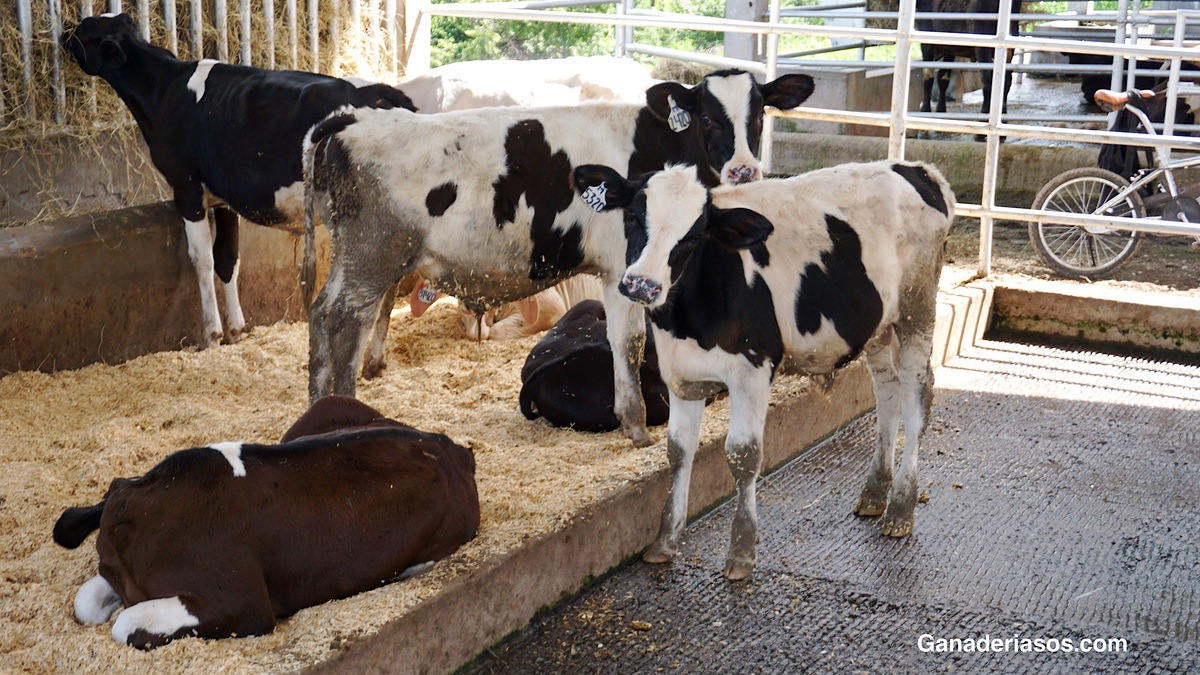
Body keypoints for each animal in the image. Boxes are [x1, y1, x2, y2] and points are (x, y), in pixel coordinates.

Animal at [62, 13, 417, 348]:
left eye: (85, 29)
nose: (64, 33)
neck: (165, 90)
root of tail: (375, 91)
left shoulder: (186, 188)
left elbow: (202, 259)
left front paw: (211, 333)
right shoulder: (223, 197)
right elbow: (227, 258)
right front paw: (235, 329)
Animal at [571, 158, 955, 578]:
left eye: (695, 234)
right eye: (634, 216)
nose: (642, 285)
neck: (687, 317)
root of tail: (913, 168)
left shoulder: (751, 373)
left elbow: (743, 455)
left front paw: (741, 551)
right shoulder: (681, 375)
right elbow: (678, 452)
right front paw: (665, 541)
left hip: (917, 311)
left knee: (916, 400)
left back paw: (900, 508)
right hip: (878, 326)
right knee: (886, 394)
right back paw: (874, 493)